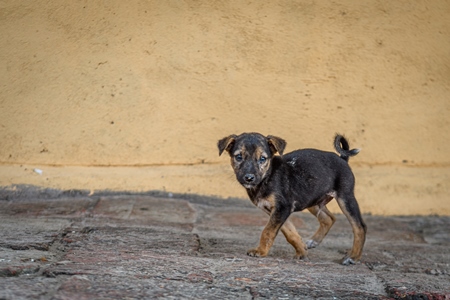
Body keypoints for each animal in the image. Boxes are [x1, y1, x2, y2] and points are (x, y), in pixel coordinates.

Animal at [217, 132, 366, 264]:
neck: (268, 177)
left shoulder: (282, 207)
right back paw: (313, 241)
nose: (249, 178)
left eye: (262, 159)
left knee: (359, 227)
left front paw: (260, 251)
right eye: (238, 157)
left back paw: (353, 257)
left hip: (345, 197)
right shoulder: (276, 210)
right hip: (313, 200)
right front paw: (302, 252)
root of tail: (342, 158)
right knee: (329, 218)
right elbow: (290, 233)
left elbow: (268, 231)